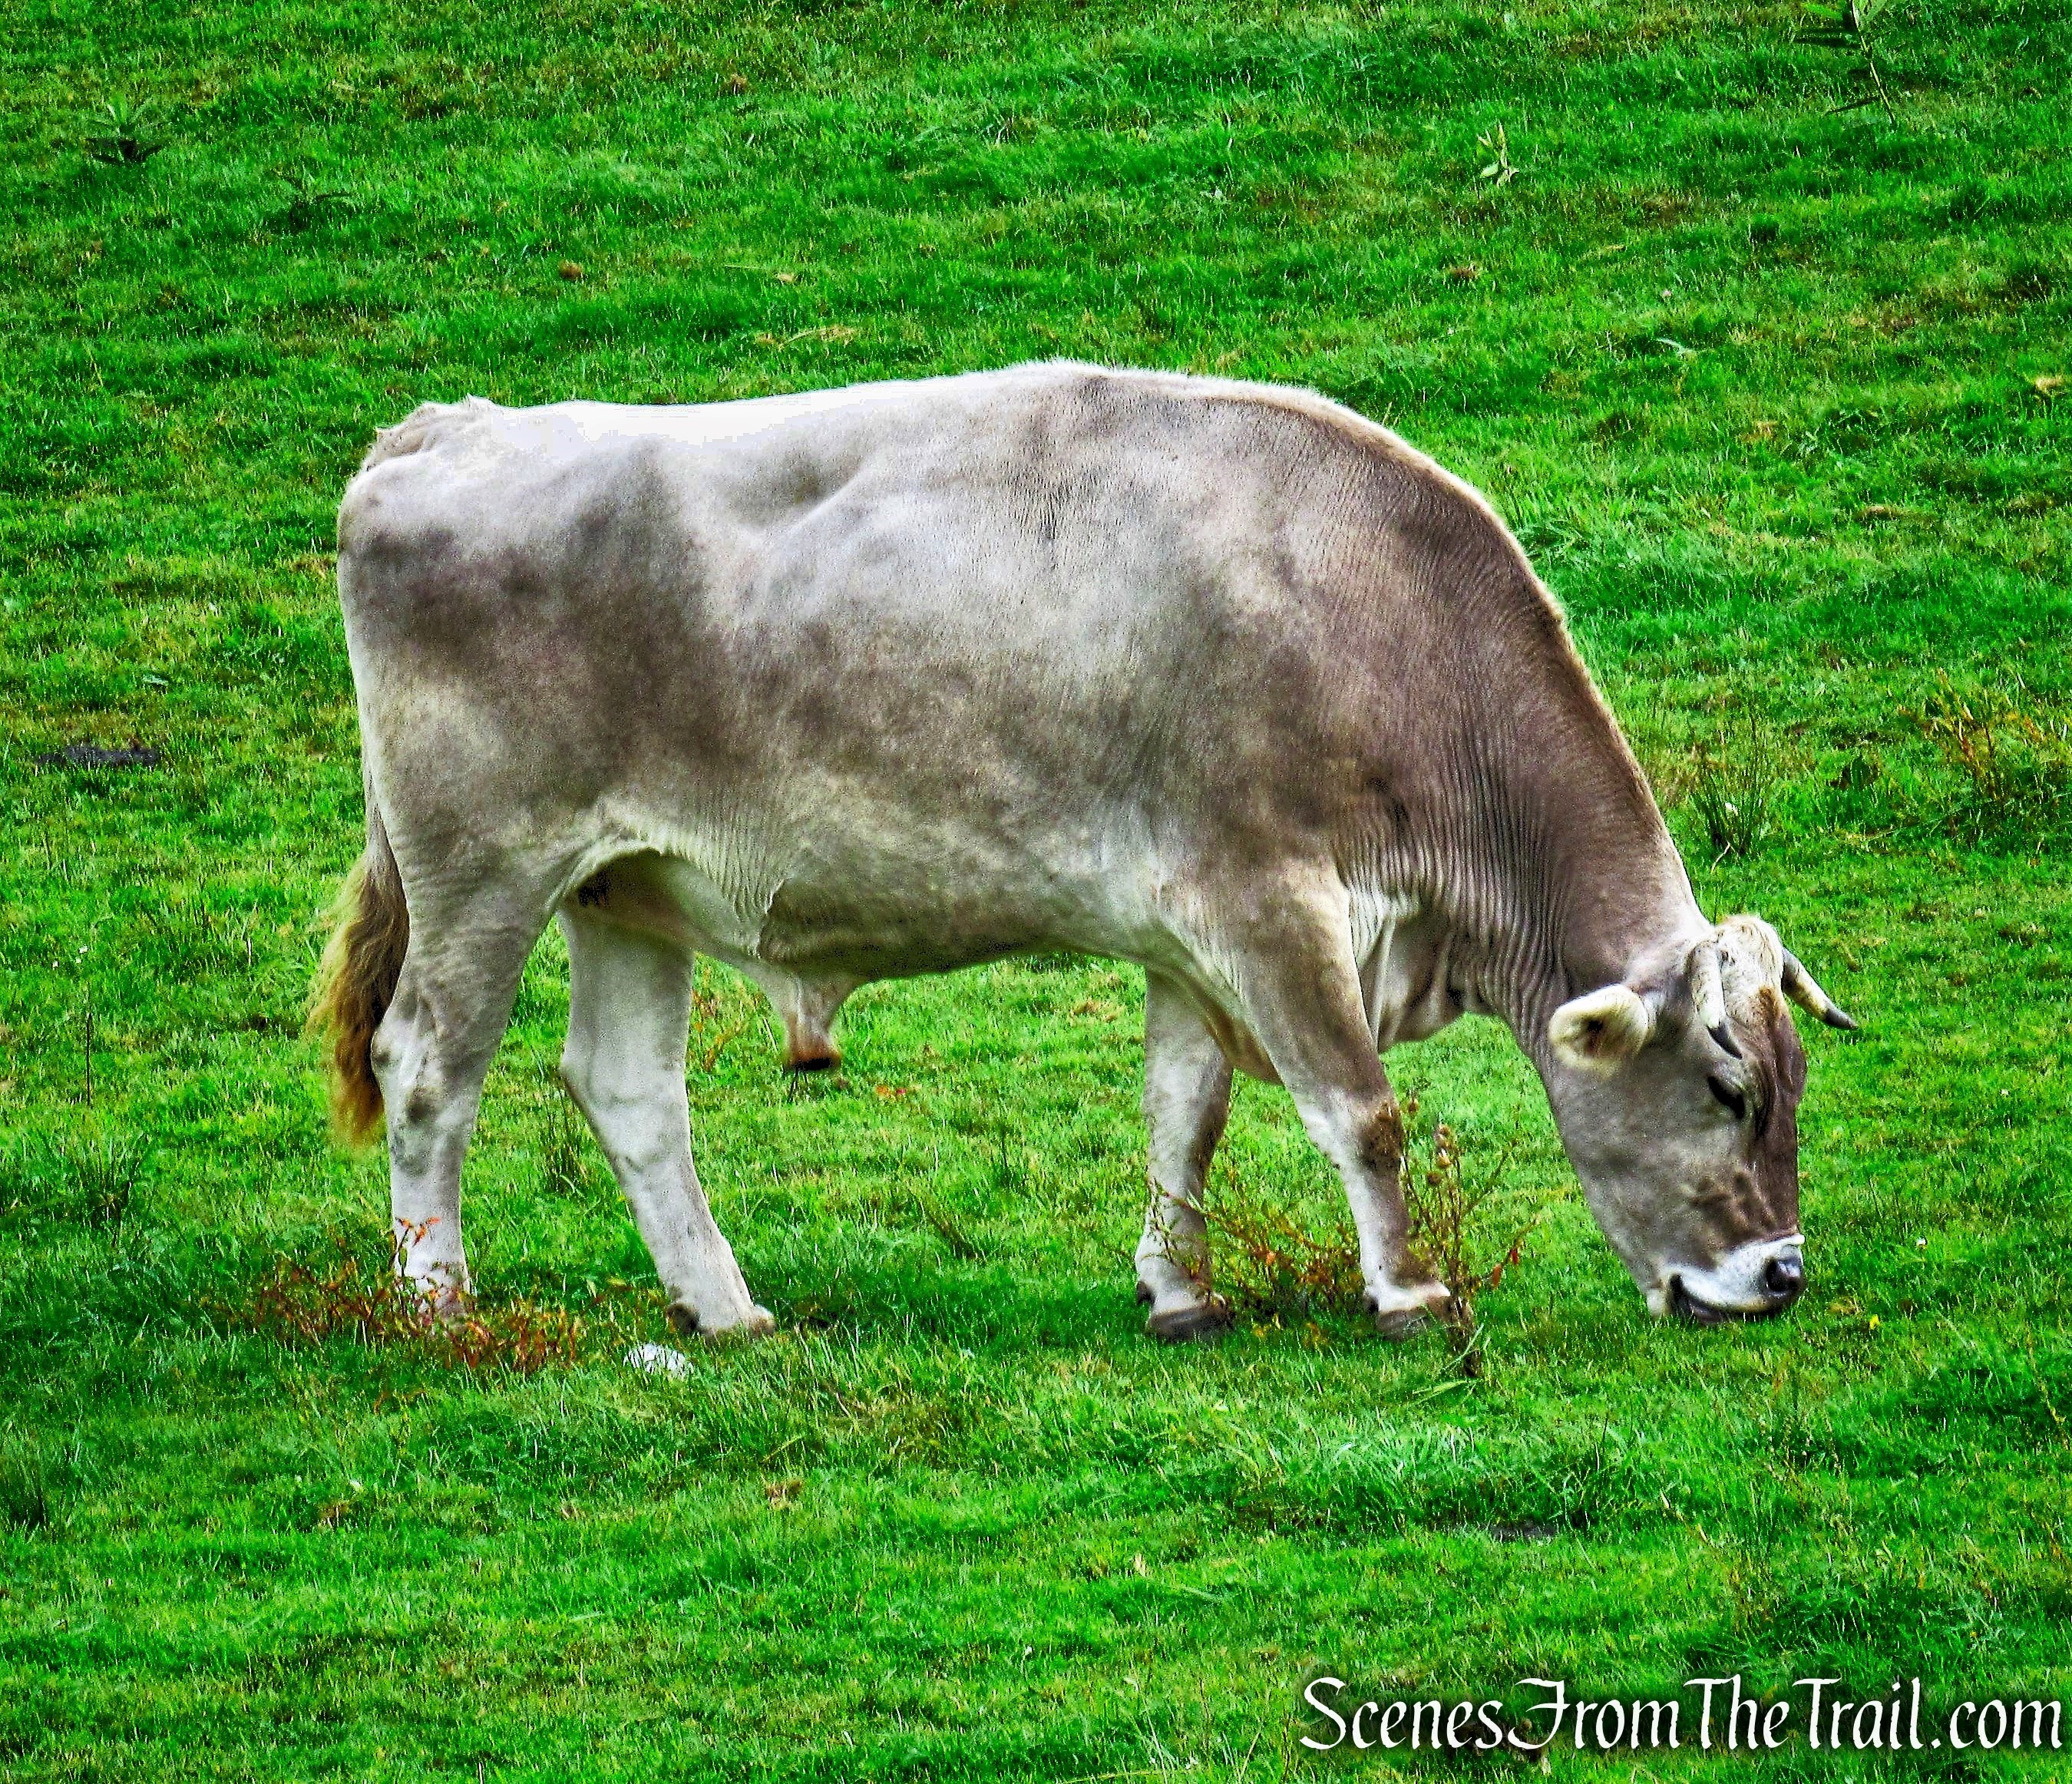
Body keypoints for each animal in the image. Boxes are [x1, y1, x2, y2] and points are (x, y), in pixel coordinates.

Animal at [311, 362, 1854, 1343]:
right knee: (428, 1065)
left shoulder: (1188, 931)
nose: (1776, 1275)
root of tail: (443, 431)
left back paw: (727, 1308)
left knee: (629, 1090)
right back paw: (439, 1306)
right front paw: (1409, 1291)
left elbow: (1185, 1113)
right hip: (481, 868)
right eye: (1723, 1089)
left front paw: (1178, 1292)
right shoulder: (1269, 899)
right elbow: (1358, 1107)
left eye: (1786, 1087)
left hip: (624, 889)